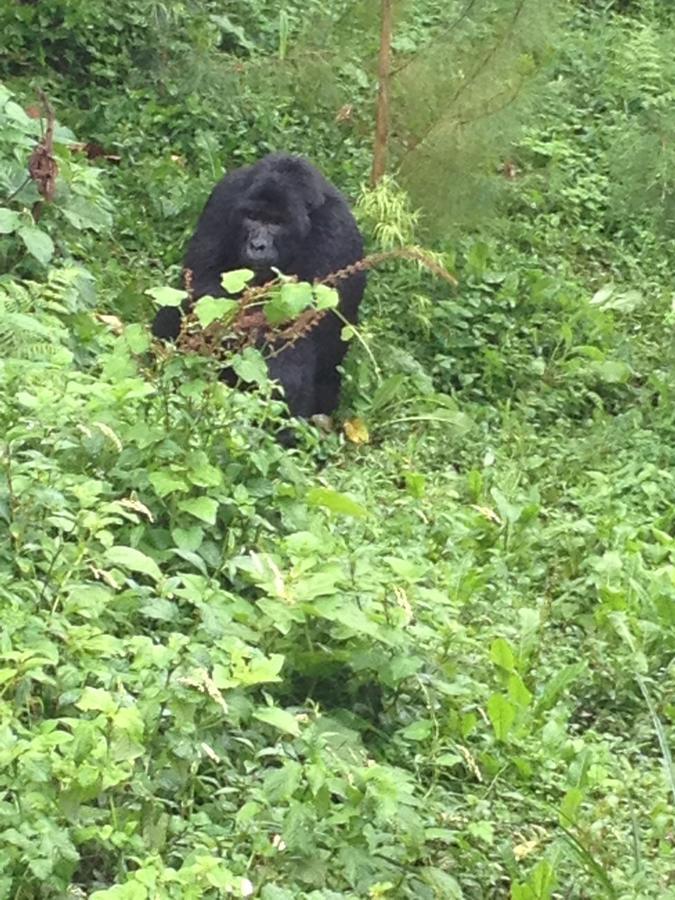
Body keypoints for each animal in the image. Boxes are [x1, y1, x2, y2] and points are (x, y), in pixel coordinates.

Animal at [151, 153, 368, 420]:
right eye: (252, 217)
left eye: (276, 223)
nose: (257, 245)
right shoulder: (224, 197)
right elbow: (201, 284)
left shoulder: (335, 231)